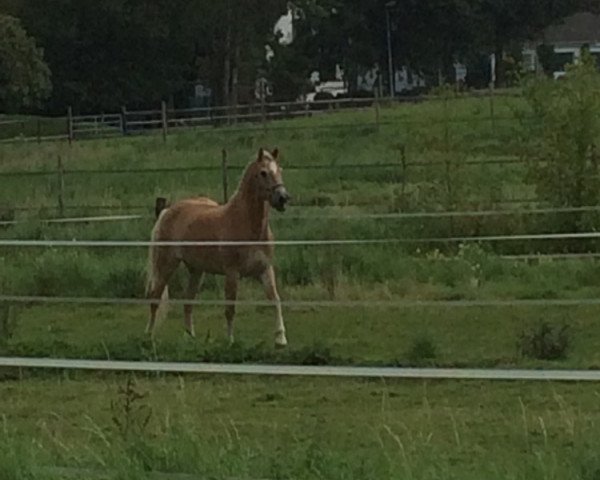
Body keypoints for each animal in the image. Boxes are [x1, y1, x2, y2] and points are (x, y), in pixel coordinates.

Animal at [145, 148, 290, 346]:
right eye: (263, 172)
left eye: (280, 169)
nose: (282, 198)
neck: (246, 224)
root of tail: (167, 211)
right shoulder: (232, 273)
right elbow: (230, 308)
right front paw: (230, 341)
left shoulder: (265, 270)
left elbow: (275, 300)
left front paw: (281, 339)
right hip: (166, 265)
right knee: (155, 299)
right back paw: (149, 337)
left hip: (196, 270)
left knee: (188, 301)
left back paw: (190, 337)